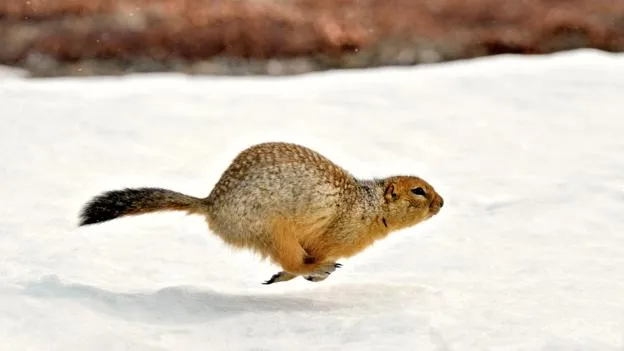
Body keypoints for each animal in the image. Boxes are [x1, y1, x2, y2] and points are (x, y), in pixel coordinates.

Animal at [80, 142, 444, 284]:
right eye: (418, 190)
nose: (441, 202)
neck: (367, 205)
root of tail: (211, 203)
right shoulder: (337, 232)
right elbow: (312, 254)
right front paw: (319, 267)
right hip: (272, 229)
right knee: (292, 260)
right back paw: (316, 270)